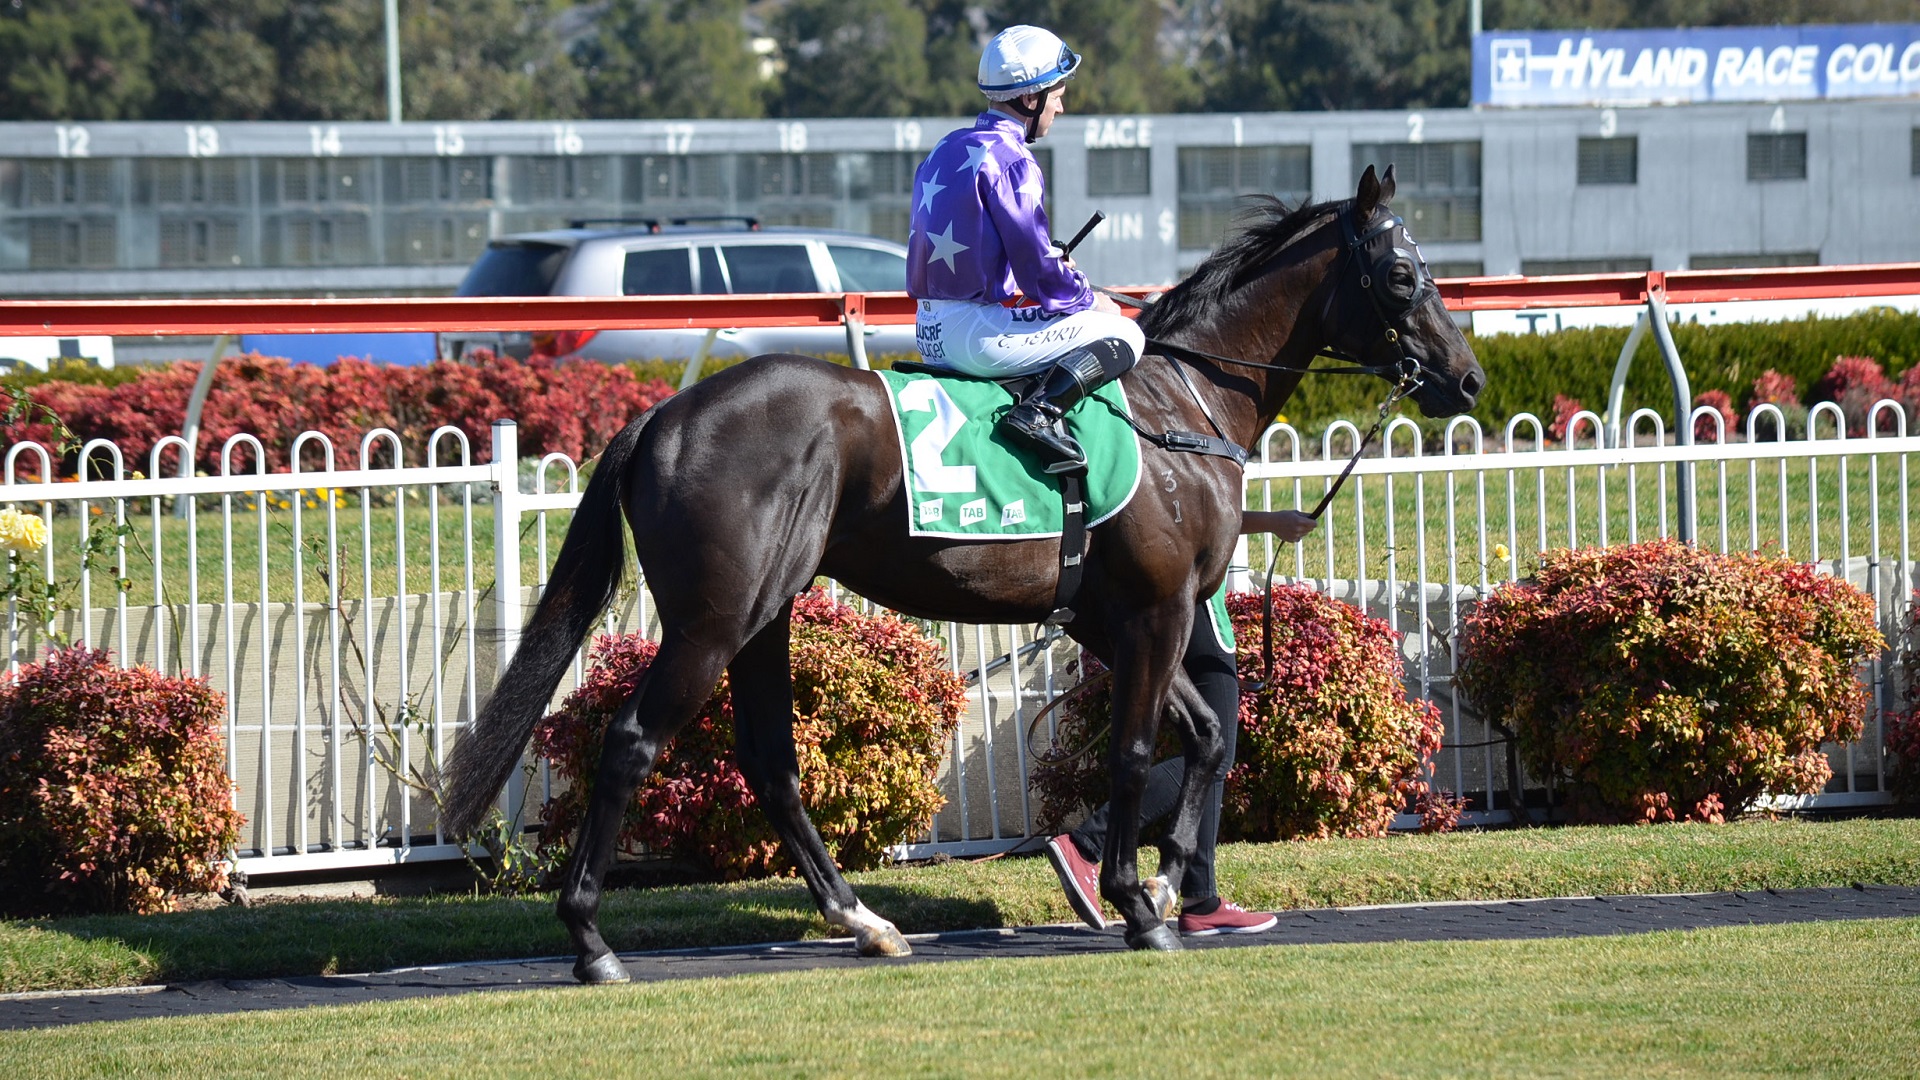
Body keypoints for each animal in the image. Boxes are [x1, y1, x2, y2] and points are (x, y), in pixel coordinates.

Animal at [445, 164, 1482, 980]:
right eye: (1403, 274)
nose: (1468, 378)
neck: (1178, 404)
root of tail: (660, 416)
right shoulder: (1156, 610)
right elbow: (1138, 747)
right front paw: (1136, 900)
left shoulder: (1114, 615)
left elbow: (1206, 735)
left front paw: (1168, 875)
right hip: (712, 621)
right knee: (630, 743)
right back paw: (591, 942)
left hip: (766, 616)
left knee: (772, 762)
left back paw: (863, 920)